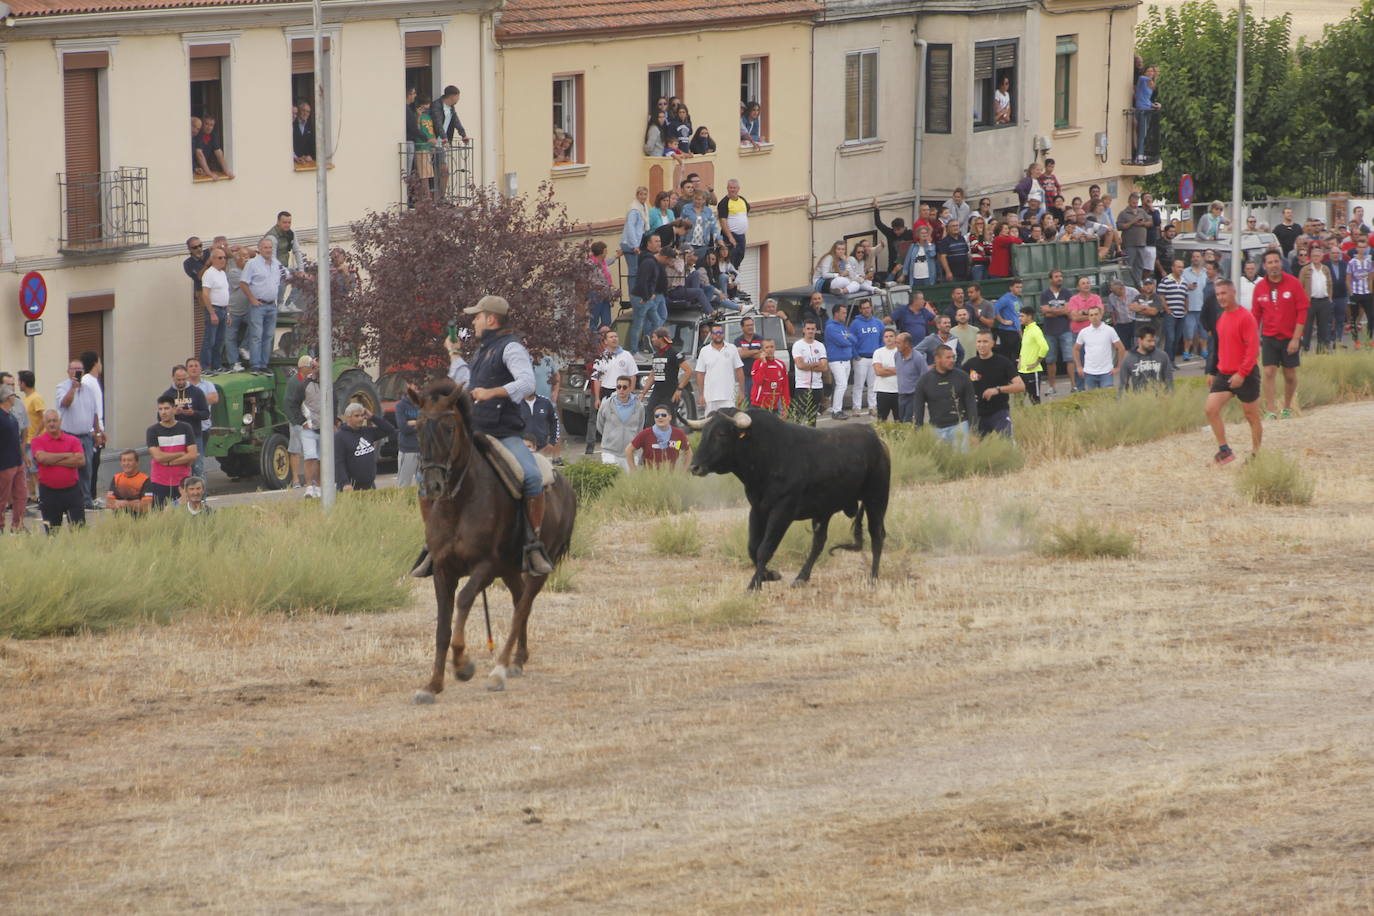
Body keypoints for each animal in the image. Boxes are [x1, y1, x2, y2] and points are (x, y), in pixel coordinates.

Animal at [409, 379, 577, 703]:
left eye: (449, 428)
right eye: (418, 426)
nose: (433, 484)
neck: (459, 502)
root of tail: (565, 484)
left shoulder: (485, 567)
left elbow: (463, 601)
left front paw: (462, 665)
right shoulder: (442, 570)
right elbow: (442, 626)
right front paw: (433, 685)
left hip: (538, 565)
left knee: (522, 606)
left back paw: (499, 669)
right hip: (510, 568)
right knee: (519, 600)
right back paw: (518, 659)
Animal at [687, 406, 890, 587]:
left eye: (721, 434)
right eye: (704, 432)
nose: (694, 467)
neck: (769, 455)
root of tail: (877, 439)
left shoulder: (782, 511)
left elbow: (765, 549)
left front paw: (754, 585)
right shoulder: (758, 509)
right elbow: (752, 547)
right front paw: (770, 575)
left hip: (876, 499)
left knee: (877, 535)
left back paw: (873, 578)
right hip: (824, 510)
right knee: (819, 541)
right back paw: (801, 577)